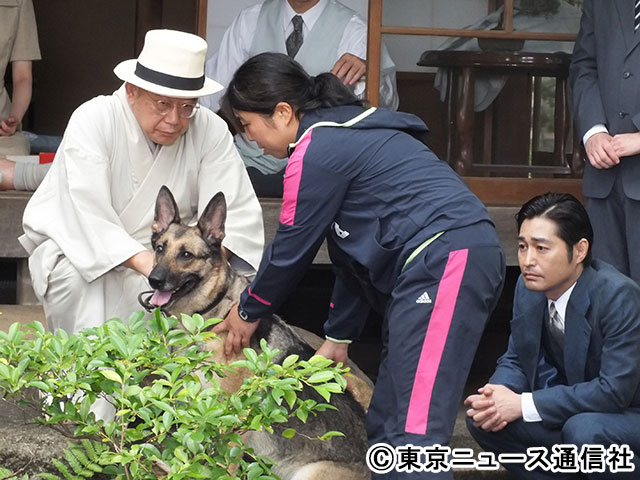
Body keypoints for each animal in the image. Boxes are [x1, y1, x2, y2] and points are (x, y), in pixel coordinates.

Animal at [140, 187, 370, 480]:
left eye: (186, 255)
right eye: (160, 248)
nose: (154, 280)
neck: (213, 312)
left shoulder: (228, 417)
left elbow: (218, 464)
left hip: (309, 472)